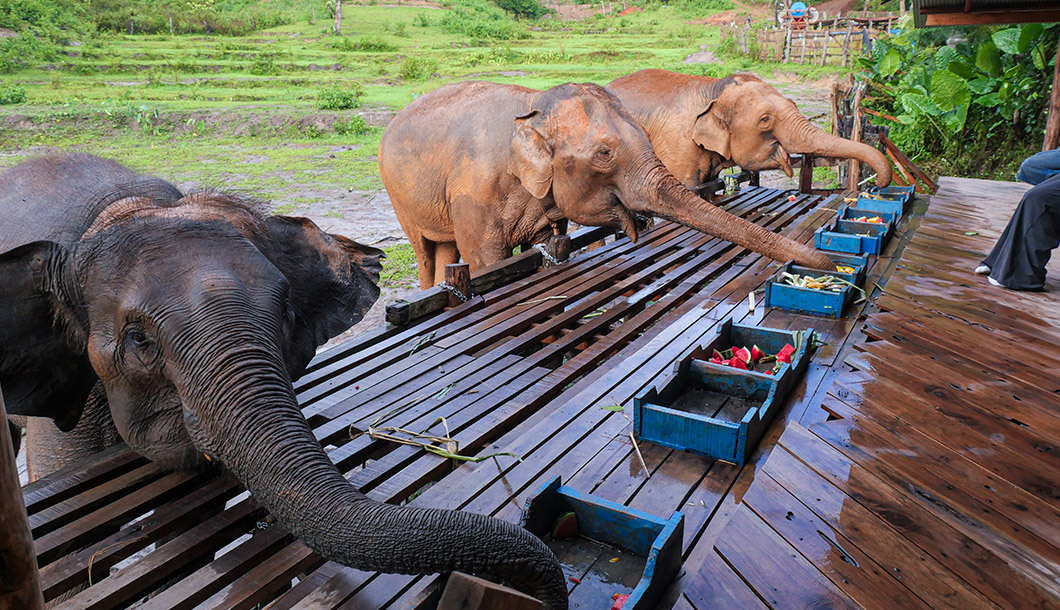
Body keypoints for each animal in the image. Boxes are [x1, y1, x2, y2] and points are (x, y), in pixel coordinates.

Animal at [378, 81, 834, 290]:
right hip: (398, 191)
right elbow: (488, 260)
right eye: (604, 154)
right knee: (425, 252)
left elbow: (548, 240)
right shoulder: (475, 191)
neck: (535, 105)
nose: (831, 265)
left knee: (444, 250)